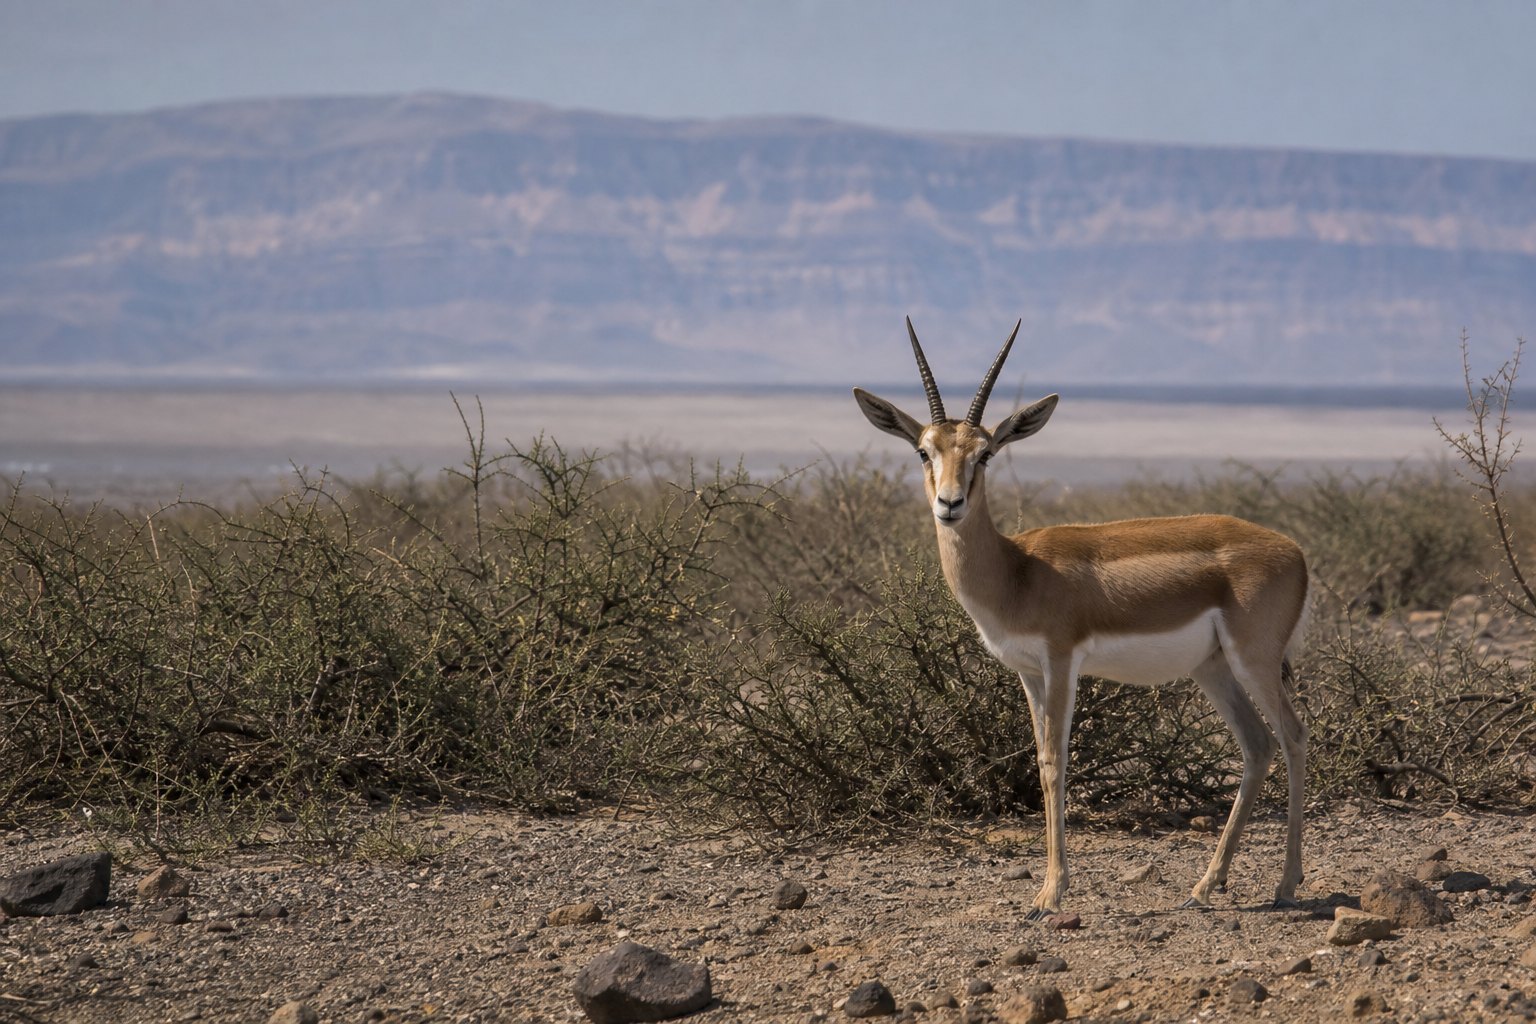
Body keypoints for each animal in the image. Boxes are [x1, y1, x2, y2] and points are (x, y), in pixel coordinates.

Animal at [853, 319, 1310, 918]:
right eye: (924, 451)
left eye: (986, 453)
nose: (949, 504)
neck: (1017, 571)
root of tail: (1295, 551)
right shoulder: (1027, 671)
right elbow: (1042, 758)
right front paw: (1047, 888)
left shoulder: (1062, 660)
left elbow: (1054, 760)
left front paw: (1050, 893)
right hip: (1210, 667)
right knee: (1257, 745)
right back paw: (1206, 886)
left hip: (1253, 658)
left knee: (1293, 736)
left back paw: (1286, 884)